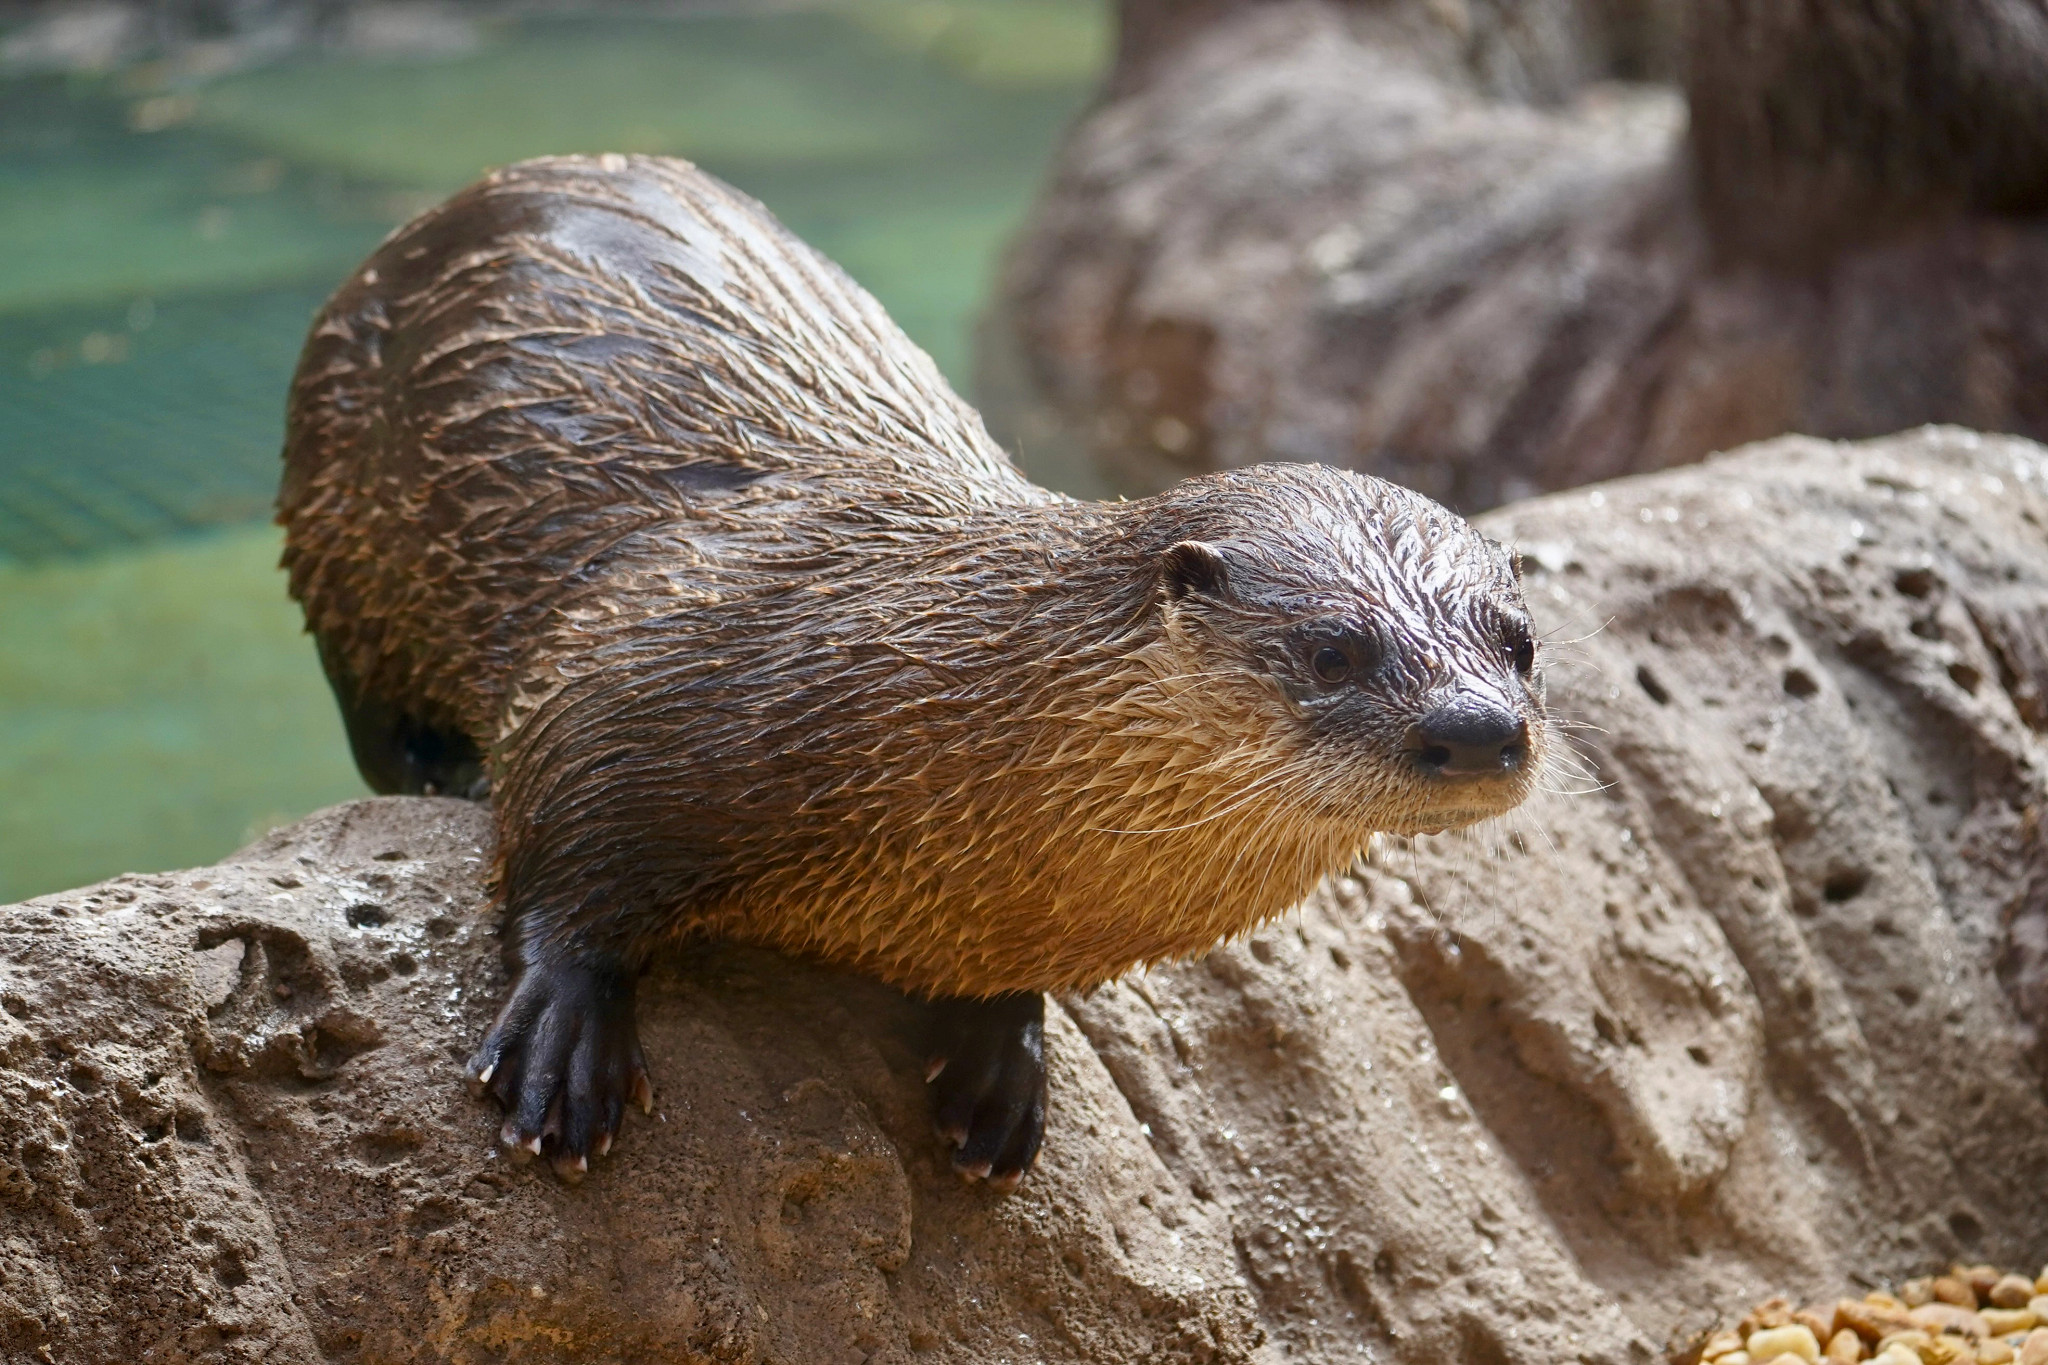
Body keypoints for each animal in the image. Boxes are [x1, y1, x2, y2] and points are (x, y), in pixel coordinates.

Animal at [279, 155, 1546, 1187]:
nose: (1477, 730)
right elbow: (560, 818)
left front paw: (1000, 1056)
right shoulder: (645, 665)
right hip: (336, 511)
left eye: (1518, 642)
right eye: (1333, 647)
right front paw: (566, 1030)